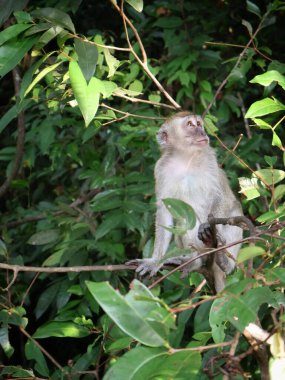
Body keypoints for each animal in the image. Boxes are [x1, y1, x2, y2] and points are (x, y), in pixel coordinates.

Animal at [133, 111, 242, 292]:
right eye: (190, 124)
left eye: (199, 124)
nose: (202, 132)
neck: (186, 158)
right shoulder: (161, 169)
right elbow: (165, 210)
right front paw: (155, 261)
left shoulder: (210, 159)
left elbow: (222, 198)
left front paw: (210, 227)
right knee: (184, 220)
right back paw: (194, 261)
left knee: (234, 213)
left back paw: (224, 261)